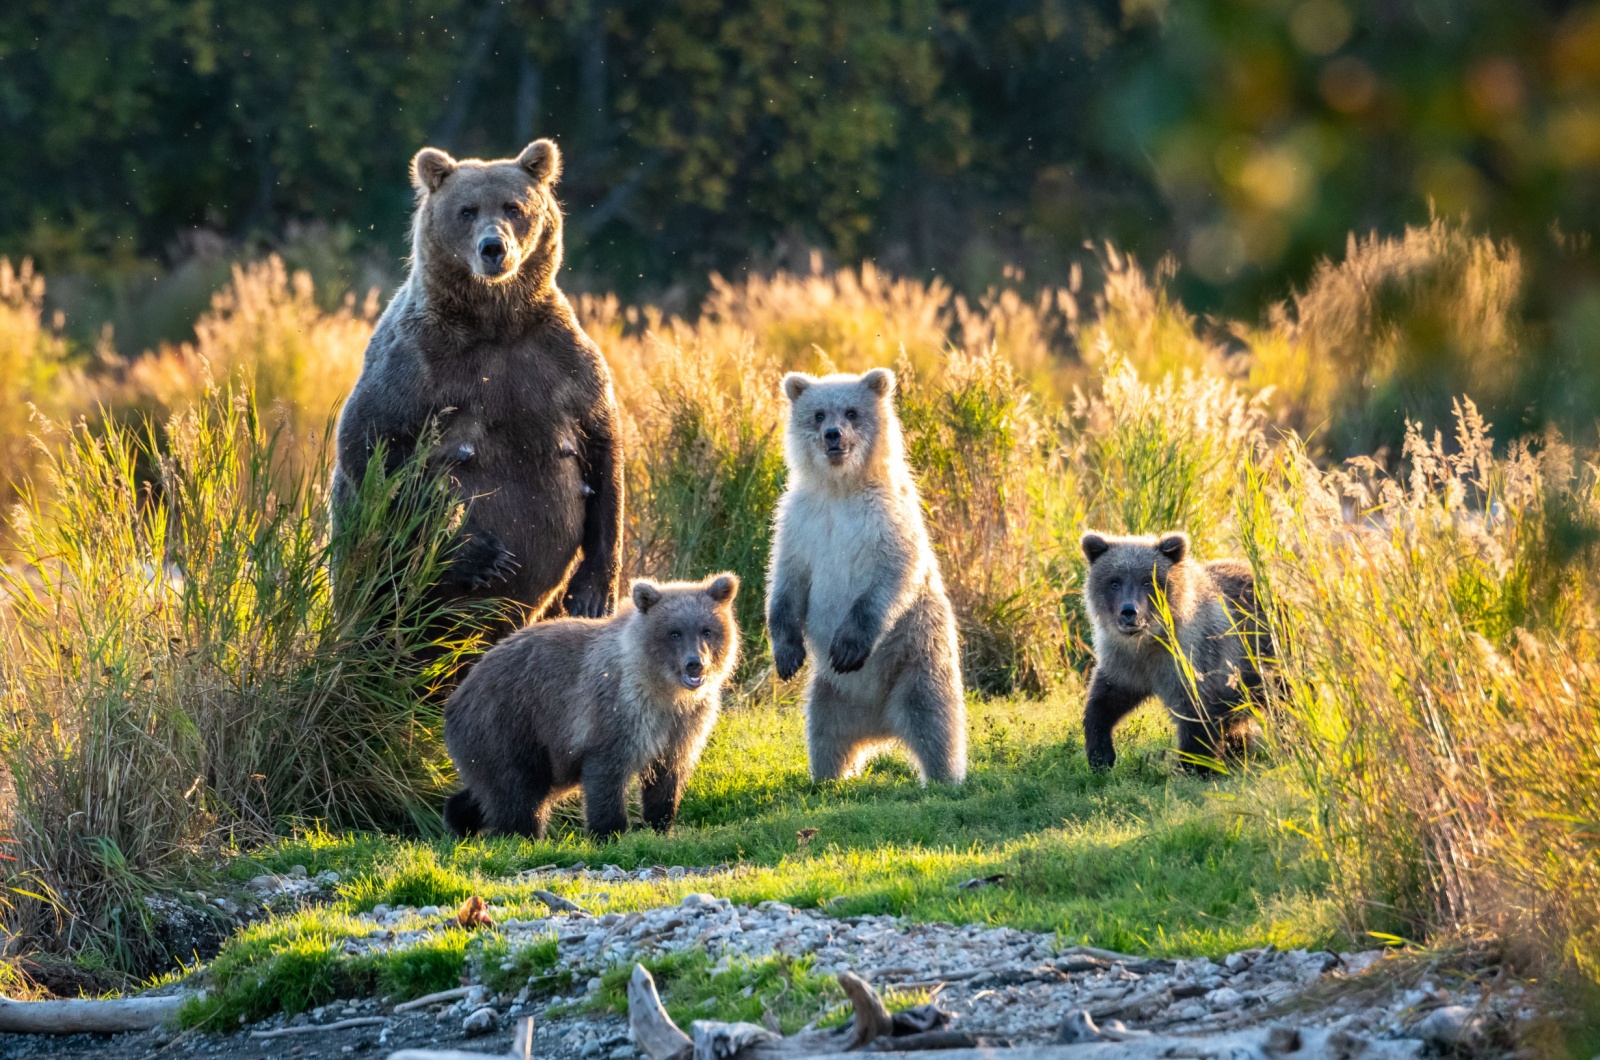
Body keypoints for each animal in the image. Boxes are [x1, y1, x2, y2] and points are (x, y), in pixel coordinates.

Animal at [334, 140, 620, 624]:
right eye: (467, 210)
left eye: (514, 207)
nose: (493, 248)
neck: (494, 322)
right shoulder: (417, 361)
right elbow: (370, 444)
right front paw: (481, 553)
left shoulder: (560, 359)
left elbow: (604, 451)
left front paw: (592, 593)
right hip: (374, 575)